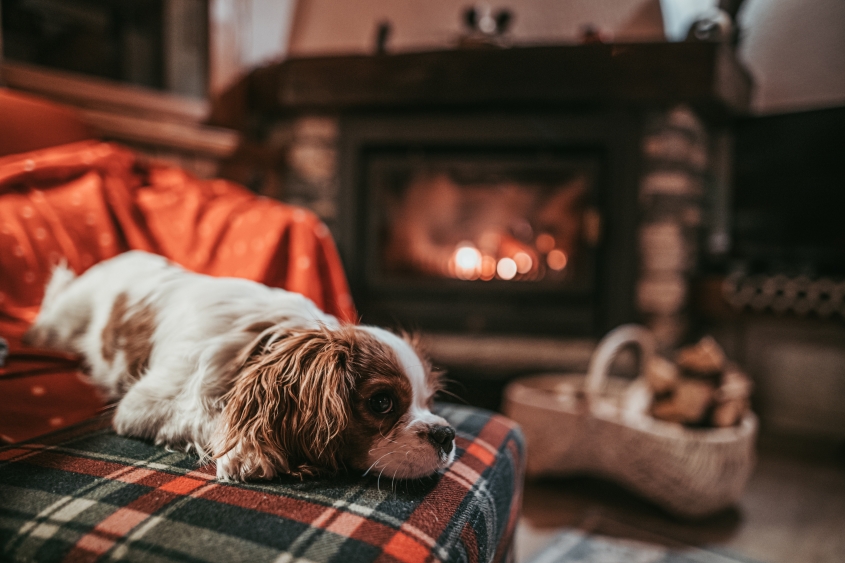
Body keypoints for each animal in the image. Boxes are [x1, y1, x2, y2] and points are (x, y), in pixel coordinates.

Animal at [24, 253, 454, 482]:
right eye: (382, 402)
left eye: (430, 402)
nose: (447, 434)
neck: (259, 345)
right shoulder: (139, 406)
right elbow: (210, 414)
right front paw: (247, 450)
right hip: (61, 321)